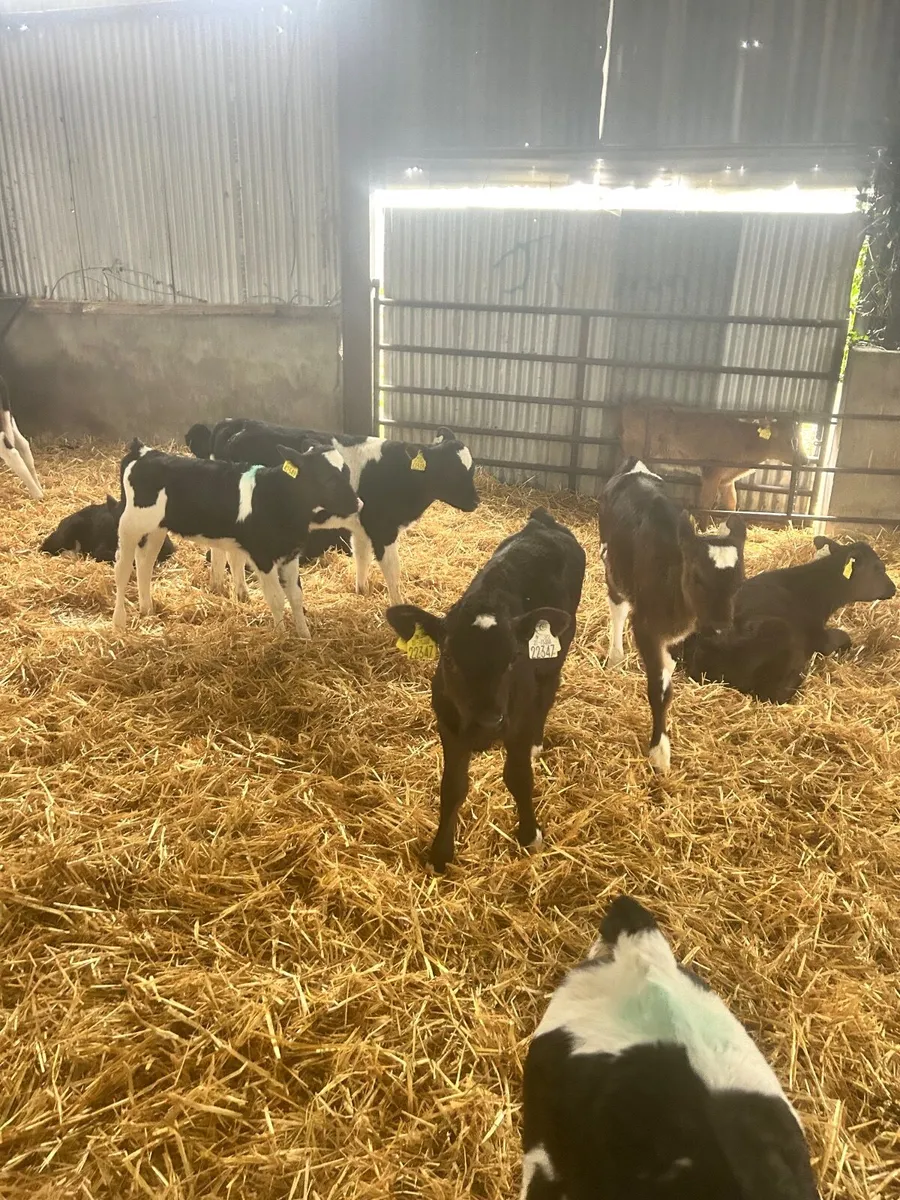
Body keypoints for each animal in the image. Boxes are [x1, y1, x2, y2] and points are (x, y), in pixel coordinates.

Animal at [112, 439, 360, 634]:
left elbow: (297, 598)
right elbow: (277, 599)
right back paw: (119, 622)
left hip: (155, 529)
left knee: (144, 564)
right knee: (122, 569)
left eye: (347, 472)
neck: (275, 496)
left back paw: (147, 609)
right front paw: (281, 638)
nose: (358, 504)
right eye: (328, 479)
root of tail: (144, 451)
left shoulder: (290, 553)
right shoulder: (263, 556)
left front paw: (305, 637)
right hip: (129, 525)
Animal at [386, 508, 585, 872]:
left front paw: (529, 834)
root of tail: (542, 521)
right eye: (448, 657)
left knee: (547, 694)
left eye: (514, 657)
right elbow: (452, 787)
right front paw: (441, 852)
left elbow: (518, 776)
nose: (488, 721)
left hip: (556, 656)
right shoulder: (449, 727)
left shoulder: (517, 723)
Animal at [599, 459, 746, 773]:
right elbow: (660, 691)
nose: (719, 627)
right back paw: (616, 656)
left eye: (739, 581)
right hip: (612, 563)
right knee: (617, 604)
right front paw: (659, 752)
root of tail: (635, 466)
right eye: (697, 576)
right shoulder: (645, 627)